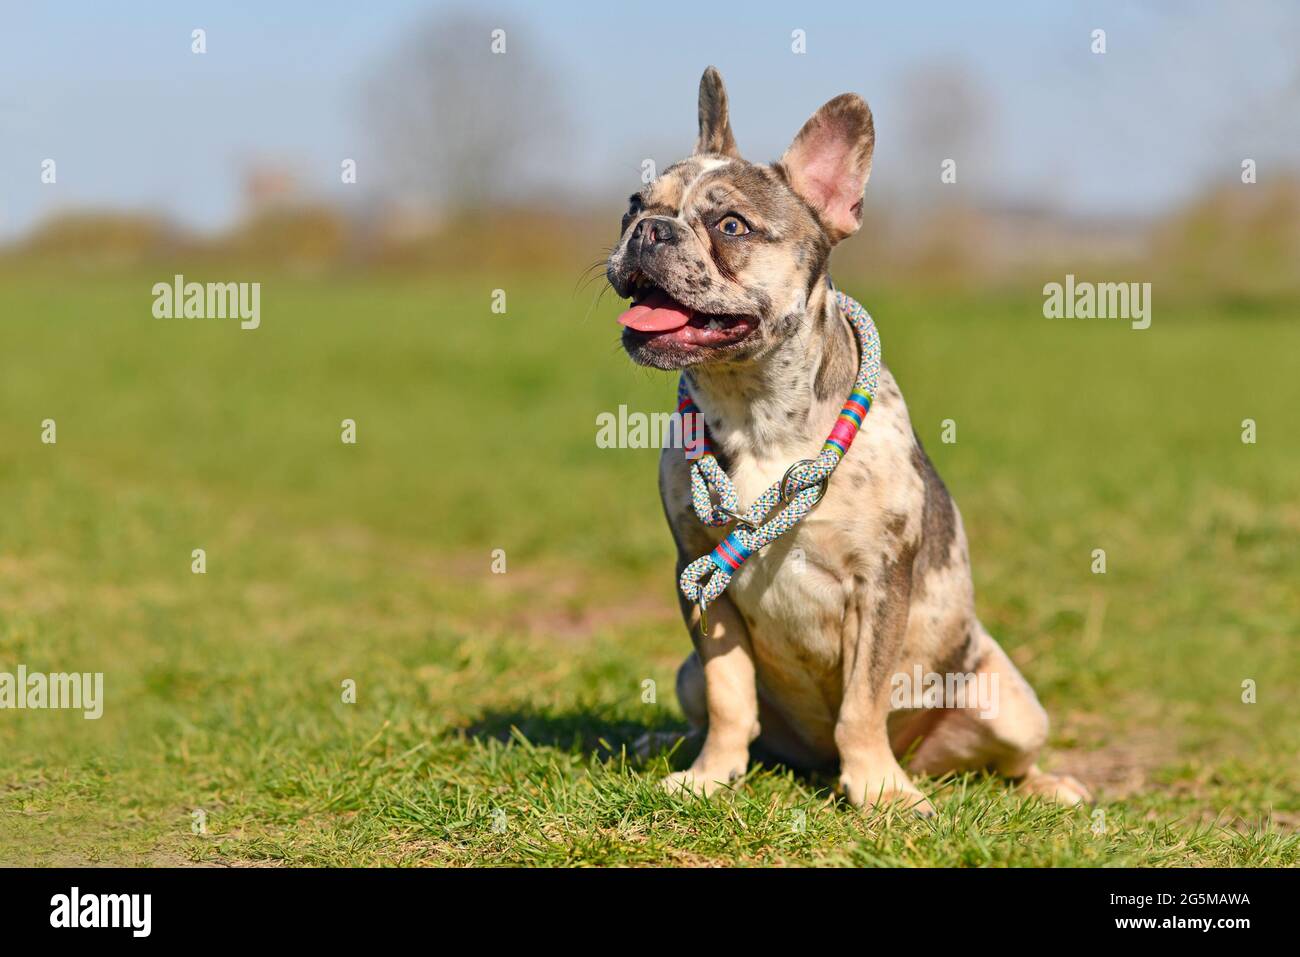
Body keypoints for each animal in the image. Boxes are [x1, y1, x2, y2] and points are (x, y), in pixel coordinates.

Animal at [605, 69, 1086, 816]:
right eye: (631, 207)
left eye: (730, 226)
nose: (648, 230)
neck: (758, 410)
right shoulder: (701, 579)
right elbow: (729, 694)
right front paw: (712, 773)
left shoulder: (879, 583)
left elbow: (863, 699)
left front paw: (879, 791)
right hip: (685, 674)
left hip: (1009, 703)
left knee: (1009, 761)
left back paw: (1047, 786)